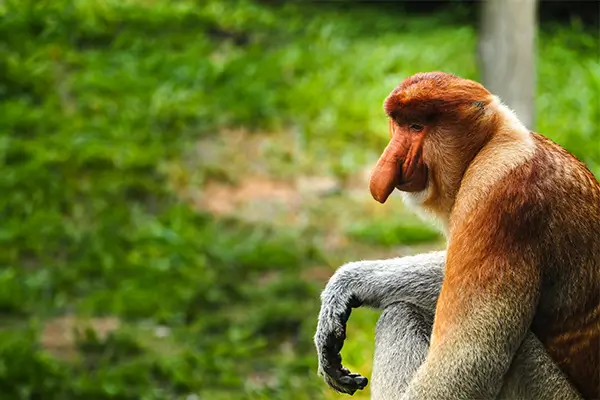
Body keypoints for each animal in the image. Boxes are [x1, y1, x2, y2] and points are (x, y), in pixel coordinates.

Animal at [314, 72, 600, 400]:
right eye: (398, 124)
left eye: (417, 127)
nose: (386, 164)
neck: (493, 142)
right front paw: (345, 286)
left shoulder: (498, 196)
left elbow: (467, 360)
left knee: (401, 314)